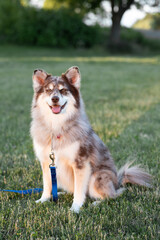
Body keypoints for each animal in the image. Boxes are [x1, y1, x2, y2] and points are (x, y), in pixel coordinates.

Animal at [30, 66, 152, 213]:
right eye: (48, 90)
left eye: (63, 90)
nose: (54, 99)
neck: (56, 128)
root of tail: (117, 182)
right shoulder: (46, 162)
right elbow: (47, 184)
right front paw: (43, 200)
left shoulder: (80, 164)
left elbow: (79, 190)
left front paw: (75, 208)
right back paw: (60, 193)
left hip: (97, 178)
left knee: (114, 195)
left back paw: (96, 203)